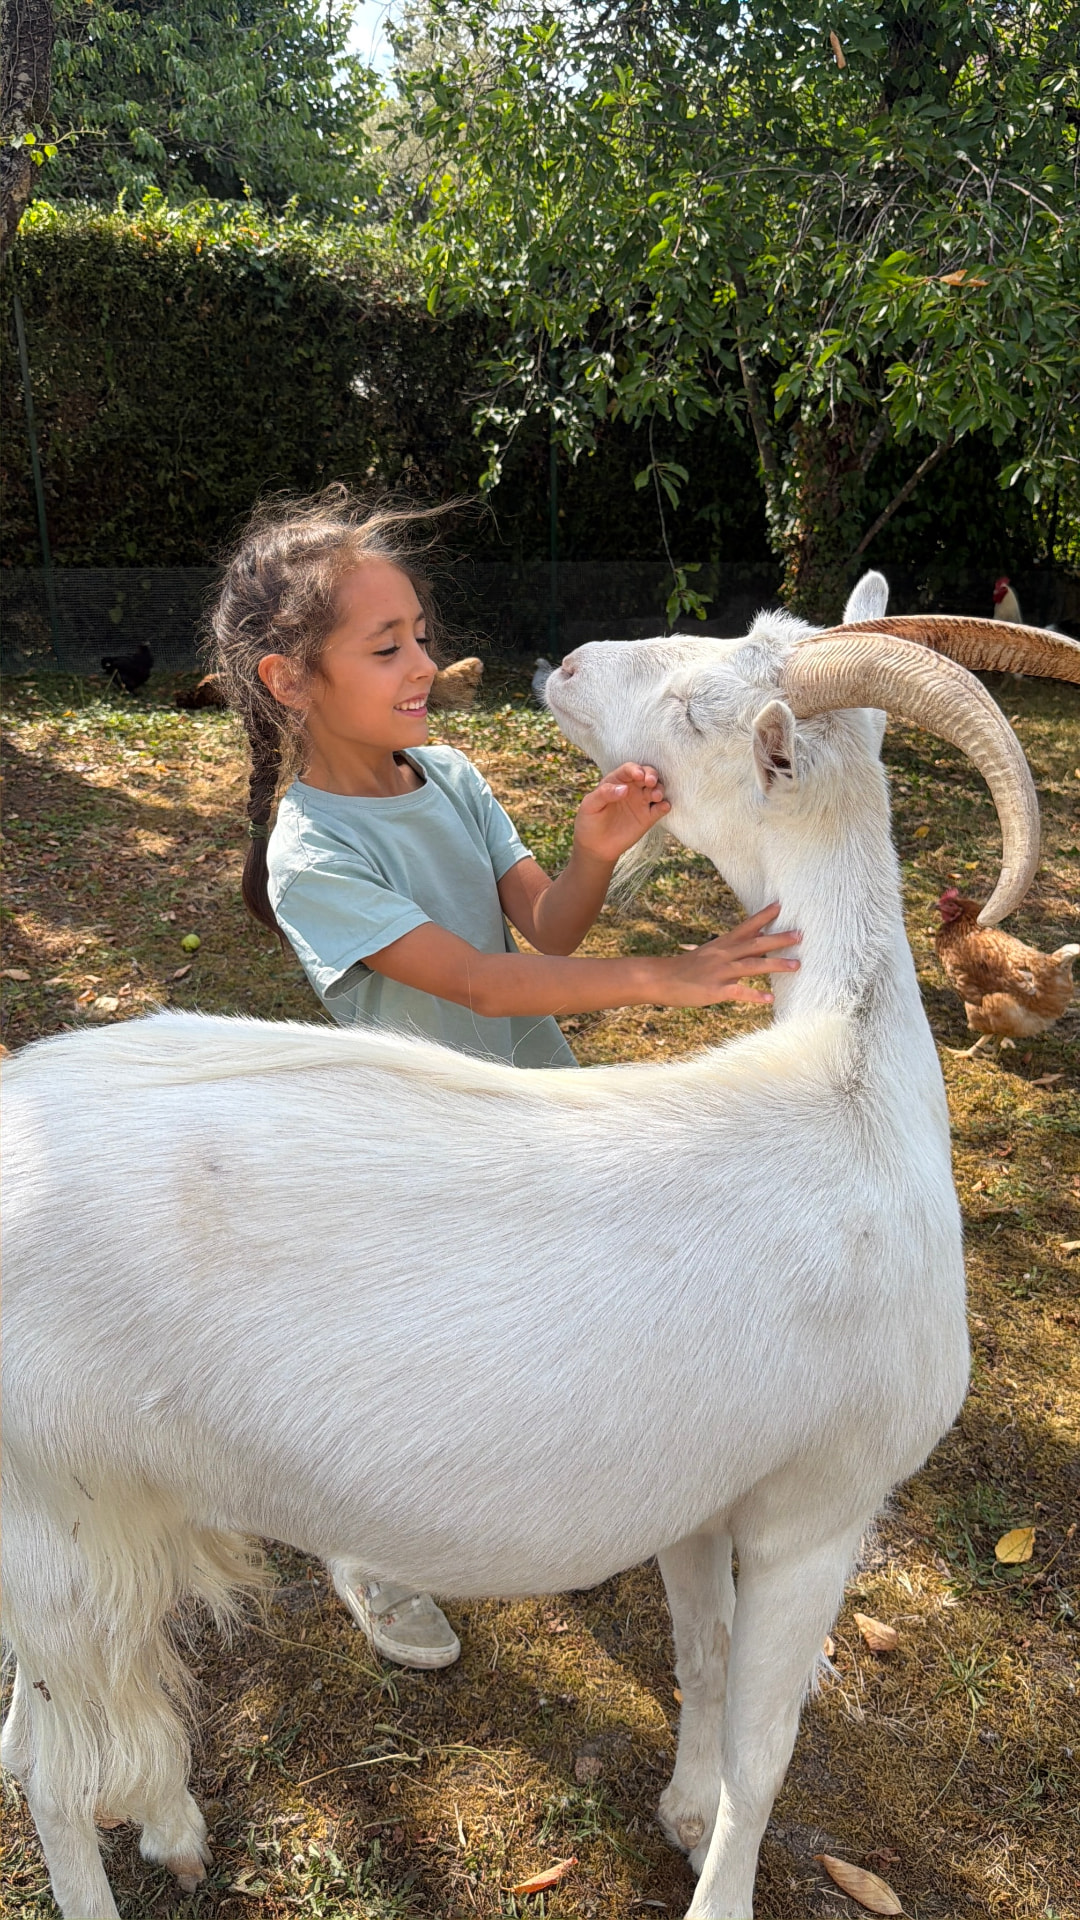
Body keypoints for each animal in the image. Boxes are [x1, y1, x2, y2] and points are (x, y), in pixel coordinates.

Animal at [3, 574, 1069, 1919]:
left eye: (694, 705)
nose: (562, 666)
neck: (851, 1089)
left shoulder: (706, 1496)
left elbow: (703, 1660)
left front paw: (683, 1812)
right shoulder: (822, 1504)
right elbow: (768, 1750)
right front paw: (721, 1876)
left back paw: (176, 1829)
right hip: (57, 1518)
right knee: (47, 1766)